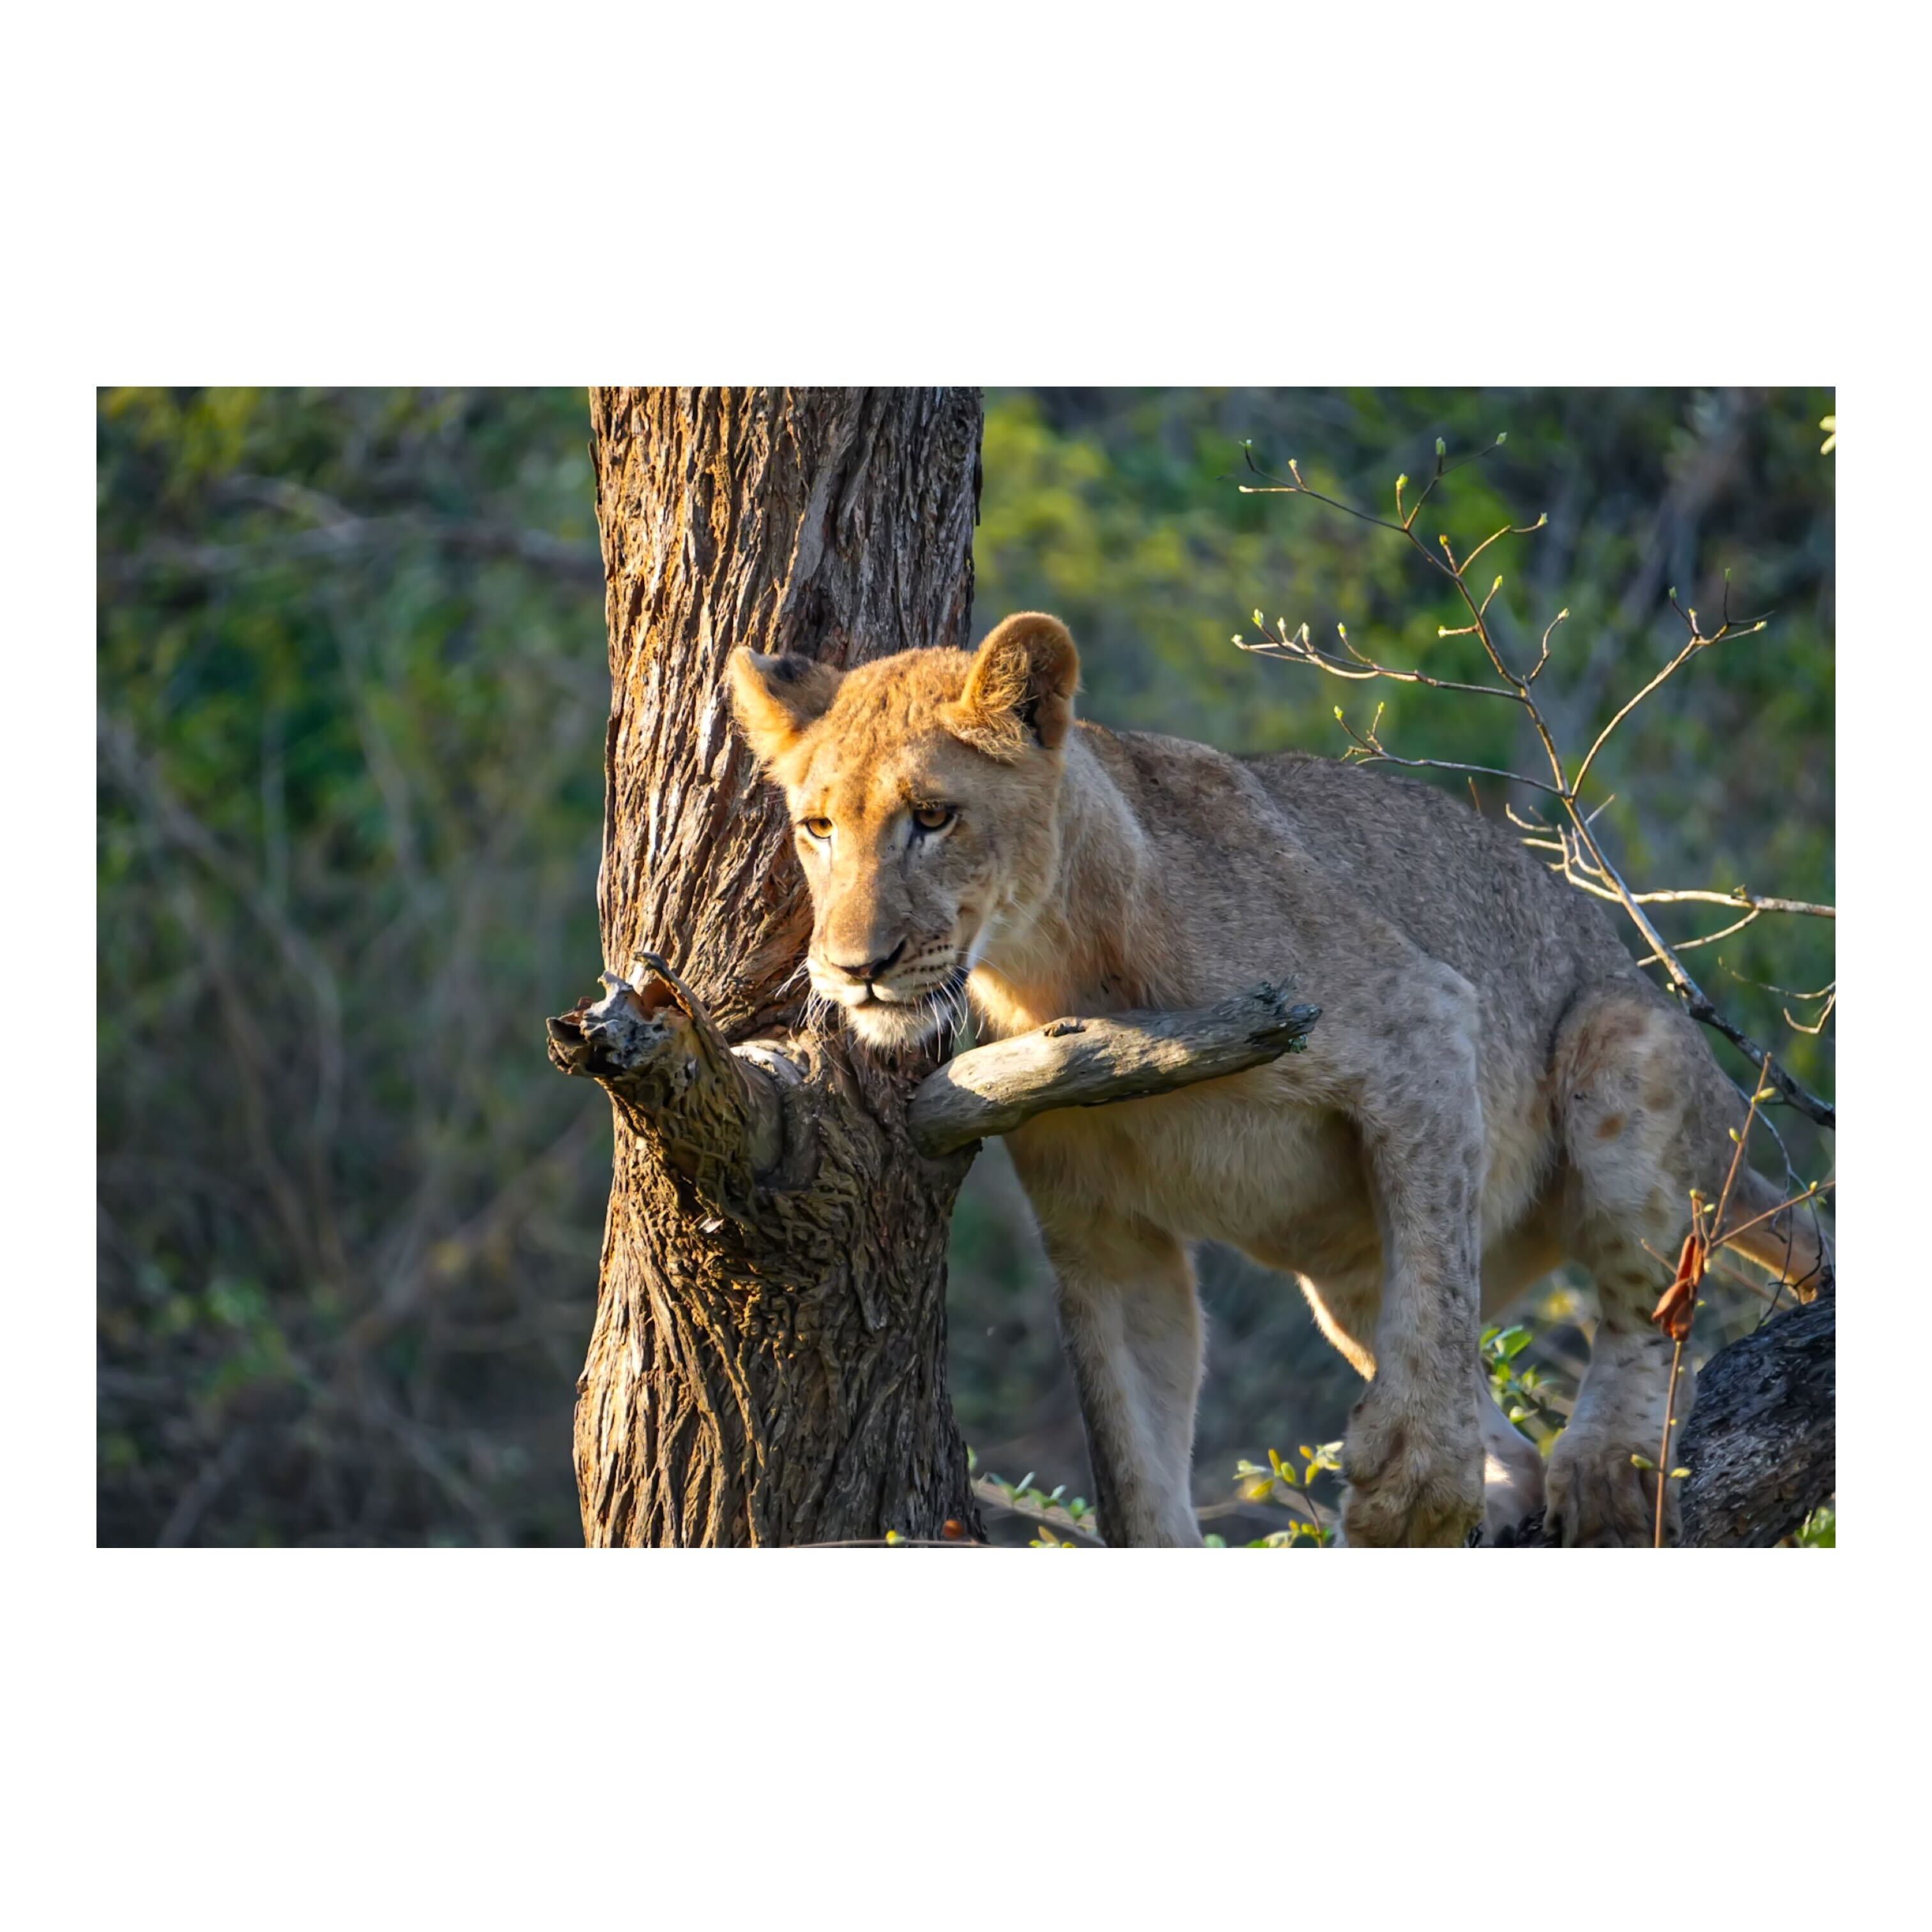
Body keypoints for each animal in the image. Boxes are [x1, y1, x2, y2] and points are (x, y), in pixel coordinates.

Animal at [727, 611, 1831, 1547]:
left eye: (933, 816)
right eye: (818, 828)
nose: (855, 969)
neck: (1049, 964)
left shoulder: (1423, 1020)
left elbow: (1437, 1300)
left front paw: (1415, 1494)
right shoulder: (1099, 1227)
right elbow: (1135, 1455)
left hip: (1620, 1041)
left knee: (1642, 1297)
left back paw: (1605, 1464)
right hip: (1342, 1285)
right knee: (1491, 1396)